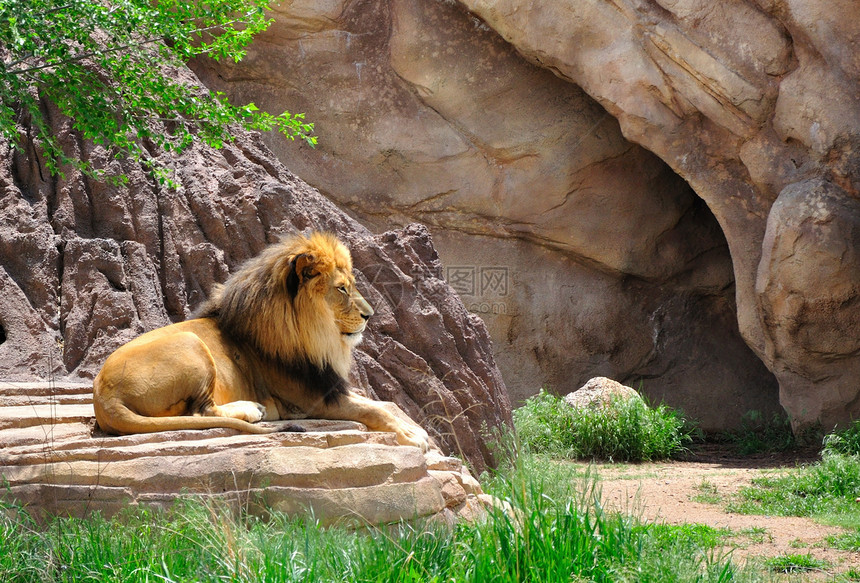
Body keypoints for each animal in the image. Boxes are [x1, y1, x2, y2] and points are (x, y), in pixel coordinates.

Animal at [90, 229, 430, 452]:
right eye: (342, 288)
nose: (370, 315)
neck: (311, 338)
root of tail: (104, 396)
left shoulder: (328, 385)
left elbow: (382, 405)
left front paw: (415, 428)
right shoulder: (311, 401)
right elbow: (375, 411)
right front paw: (414, 437)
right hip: (189, 342)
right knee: (200, 412)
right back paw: (253, 410)